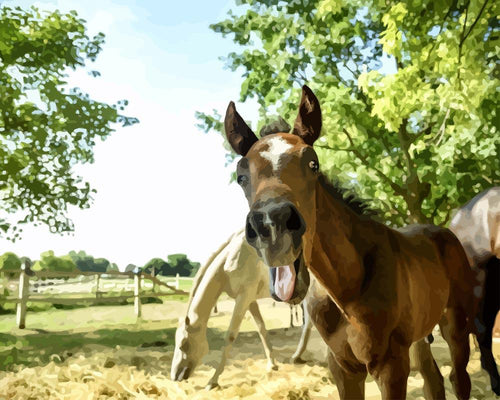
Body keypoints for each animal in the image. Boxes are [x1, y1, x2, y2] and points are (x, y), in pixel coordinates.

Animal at [172, 230, 302, 390]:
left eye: (183, 344)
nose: (174, 376)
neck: (233, 258)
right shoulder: (250, 300)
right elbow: (261, 329)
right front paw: (272, 365)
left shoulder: (243, 298)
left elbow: (230, 336)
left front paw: (213, 381)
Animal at [225, 86, 478, 398]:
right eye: (241, 176)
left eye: (313, 163)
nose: (273, 225)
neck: (347, 288)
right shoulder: (342, 367)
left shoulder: (391, 366)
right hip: (419, 334)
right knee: (433, 378)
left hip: (456, 323)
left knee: (459, 377)